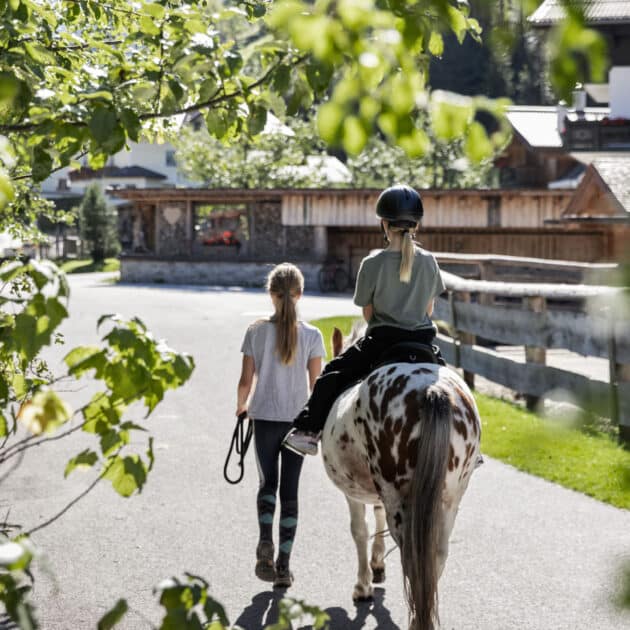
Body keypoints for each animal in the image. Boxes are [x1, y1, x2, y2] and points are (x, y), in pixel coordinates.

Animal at [320, 328, 484, 628]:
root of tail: (433, 390)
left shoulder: (353, 493)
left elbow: (359, 531)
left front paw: (363, 586)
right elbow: (376, 518)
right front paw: (377, 564)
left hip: (401, 500)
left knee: (413, 557)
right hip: (450, 499)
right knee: (436, 555)